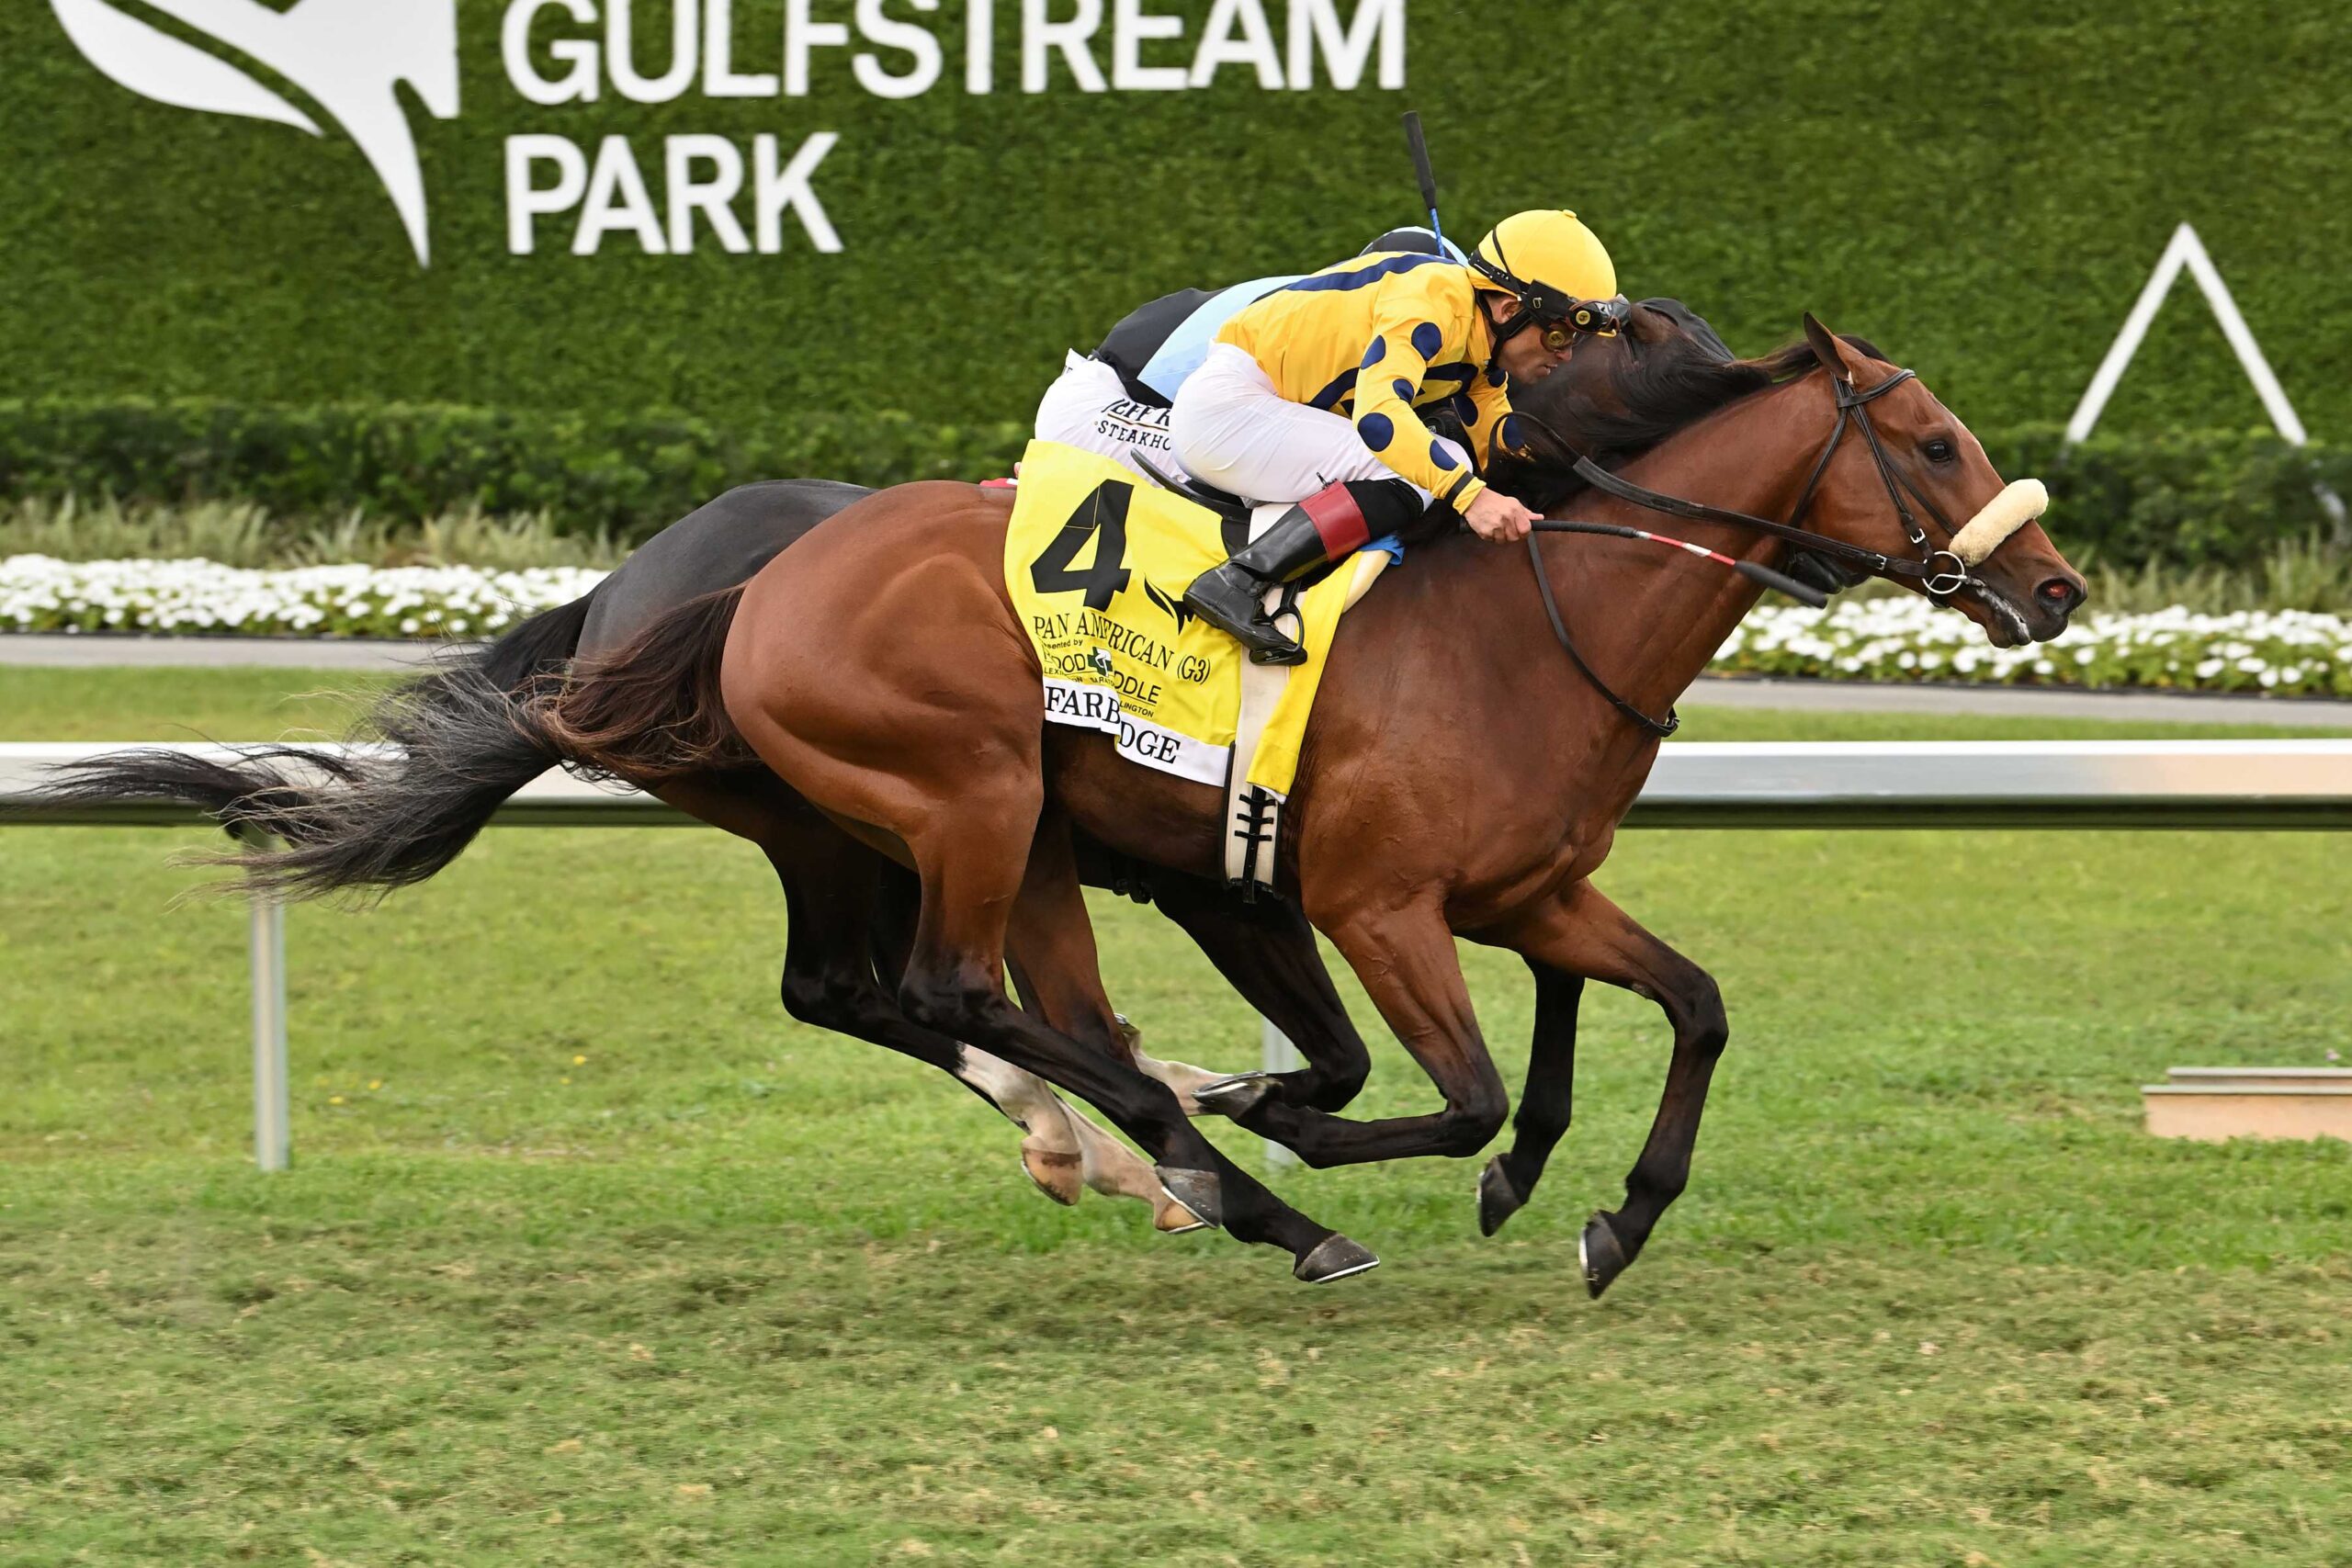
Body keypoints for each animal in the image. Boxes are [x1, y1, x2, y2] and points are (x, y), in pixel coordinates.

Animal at [505, 314, 2086, 1289]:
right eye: (1934, 442)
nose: (2058, 584)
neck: (1539, 615)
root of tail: (748, 585)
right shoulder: (1374, 904)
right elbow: (1460, 1093)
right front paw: (1297, 1125)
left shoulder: (1532, 890)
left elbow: (1691, 1005)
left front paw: (1616, 1219)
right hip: (966, 797)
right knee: (943, 990)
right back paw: (1221, 1170)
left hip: (993, 839)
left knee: (967, 1002)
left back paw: (1166, 1146)